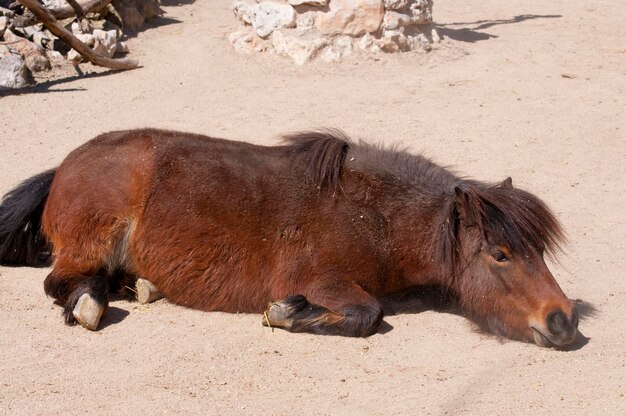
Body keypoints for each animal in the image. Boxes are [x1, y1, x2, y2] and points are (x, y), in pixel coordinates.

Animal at [0, 128, 576, 346]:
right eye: (500, 255)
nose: (564, 321)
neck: (376, 216)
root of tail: (66, 164)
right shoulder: (325, 278)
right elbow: (369, 314)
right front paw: (288, 312)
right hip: (93, 237)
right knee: (64, 281)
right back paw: (89, 303)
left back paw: (140, 286)